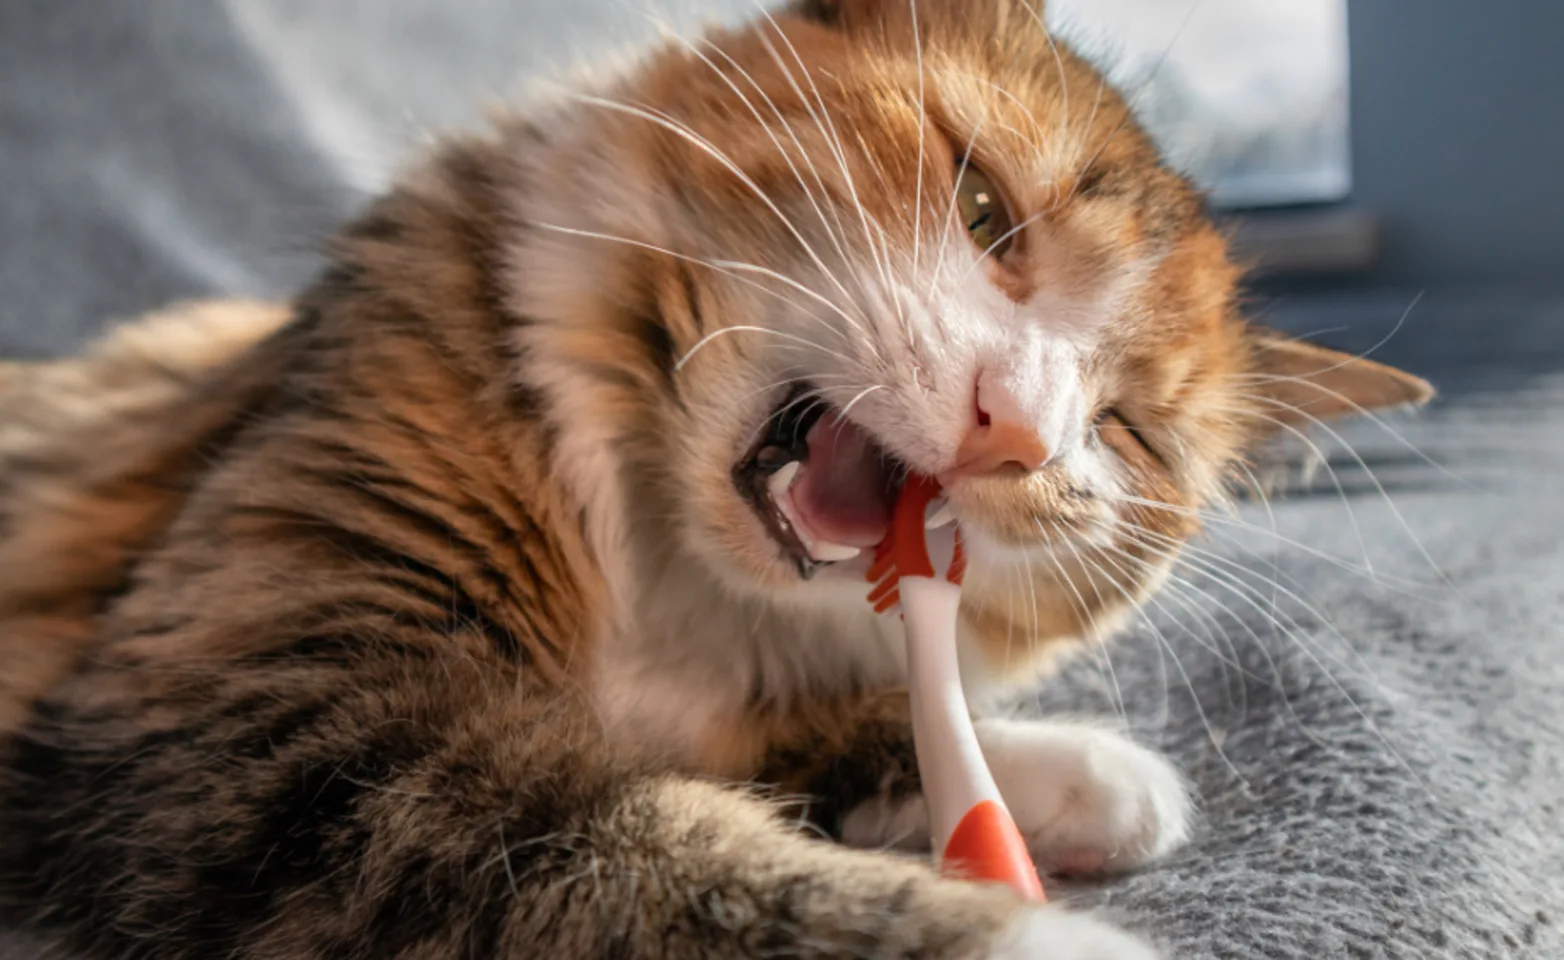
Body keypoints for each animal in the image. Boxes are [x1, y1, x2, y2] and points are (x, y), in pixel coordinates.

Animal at [0, 3, 1432, 956]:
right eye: (984, 213)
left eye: (1120, 432)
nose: (1014, 428)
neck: (662, 583)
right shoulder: (291, 734)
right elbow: (652, 851)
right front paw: (1017, 926)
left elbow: (820, 746)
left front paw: (1080, 782)